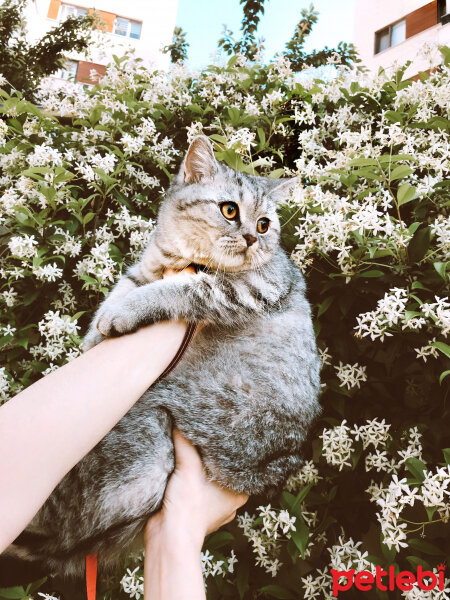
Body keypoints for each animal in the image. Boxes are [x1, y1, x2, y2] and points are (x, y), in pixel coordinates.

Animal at [1, 135, 322, 580]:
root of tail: (267, 467)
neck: (182, 259)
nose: (252, 240)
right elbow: (123, 289)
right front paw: (97, 331)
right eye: (230, 210)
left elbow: (175, 291)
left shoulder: (247, 287)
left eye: (264, 225)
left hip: (153, 409)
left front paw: (123, 315)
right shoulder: (144, 270)